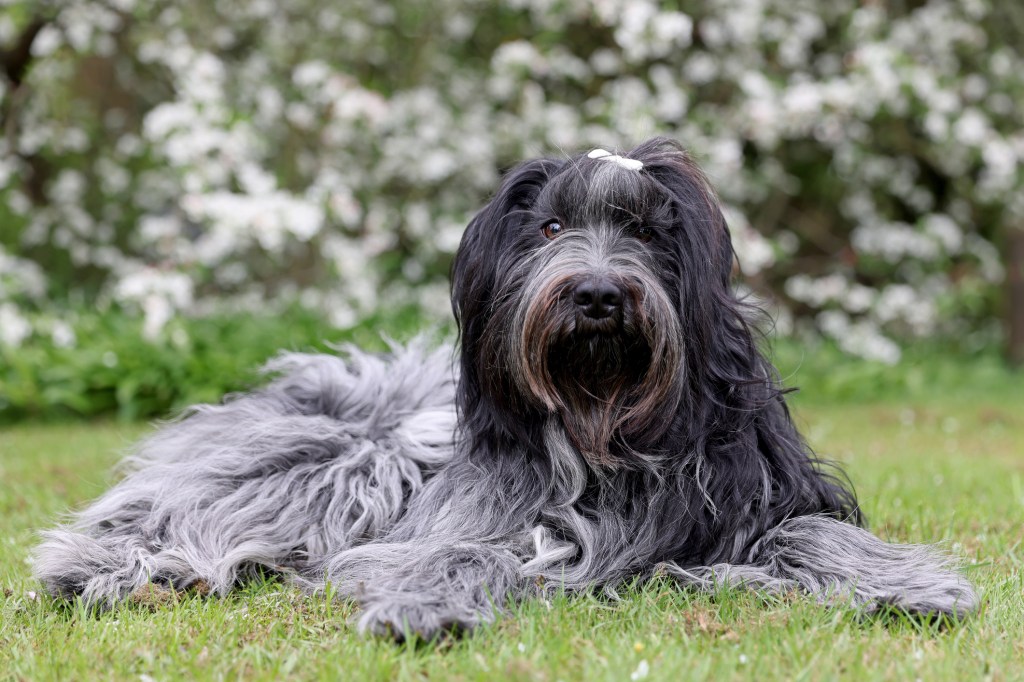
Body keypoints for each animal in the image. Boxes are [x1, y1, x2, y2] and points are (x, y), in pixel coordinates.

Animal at [32, 137, 974, 638]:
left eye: (645, 231)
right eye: (551, 227)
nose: (597, 295)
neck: (603, 428)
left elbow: (813, 533)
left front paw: (909, 585)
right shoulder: (464, 521)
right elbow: (465, 551)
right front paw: (421, 605)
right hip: (340, 457)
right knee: (177, 509)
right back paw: (110, 570)